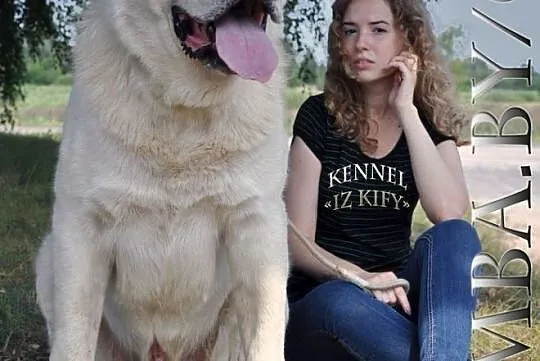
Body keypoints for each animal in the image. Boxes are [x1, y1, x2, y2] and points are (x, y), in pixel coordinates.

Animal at [35, 0, 292, 358]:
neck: (185, 111)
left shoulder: (258, 226)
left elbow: (264, 335)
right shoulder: (82, 225)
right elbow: (74, 337)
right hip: (48, 258)